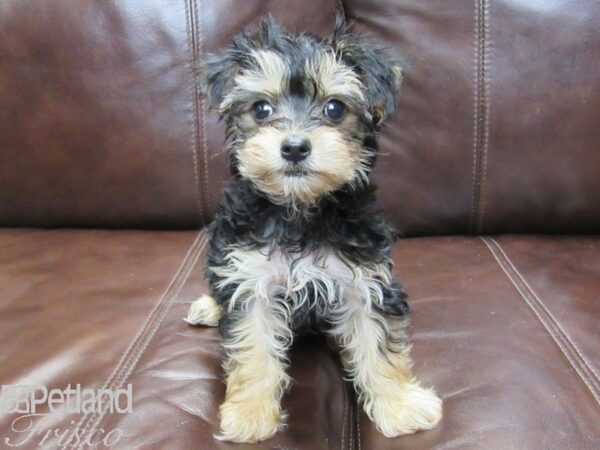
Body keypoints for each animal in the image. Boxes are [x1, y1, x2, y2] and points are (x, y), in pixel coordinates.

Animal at [185, 15, 442, 442]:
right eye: (261, 109)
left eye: (334, 108)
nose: (294, 147)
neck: (301, 210)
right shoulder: (251, 278)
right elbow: (253, 347)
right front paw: (250, 414)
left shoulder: (365, 280)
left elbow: (377, 343)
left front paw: (400, 405)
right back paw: (208, 305)